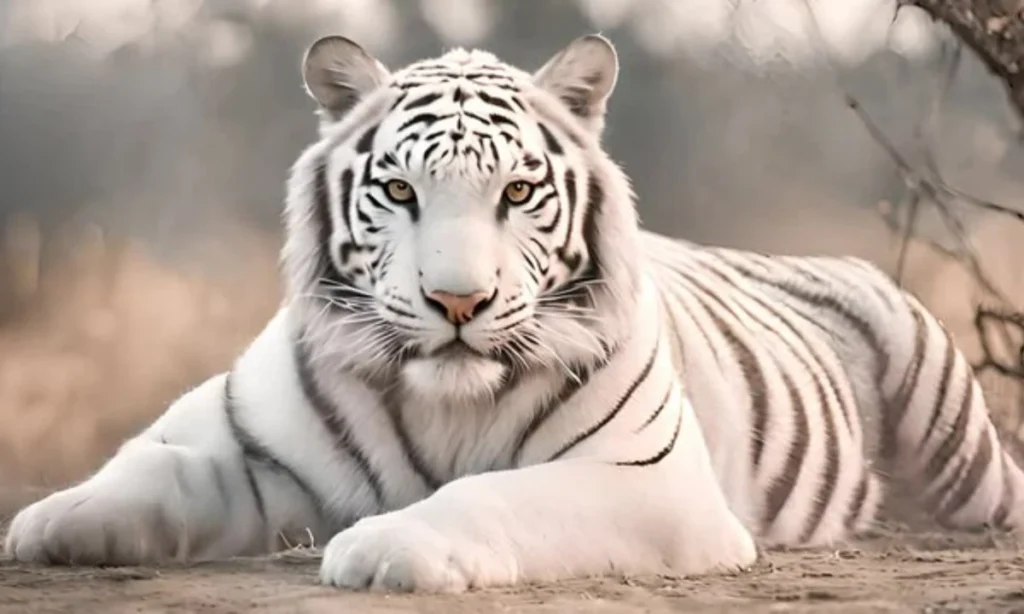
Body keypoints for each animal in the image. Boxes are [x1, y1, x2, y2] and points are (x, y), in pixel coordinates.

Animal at [5, 33, 1024, 593]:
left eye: (519, 191)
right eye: (400, 191)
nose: (458, 299)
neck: (441, 400)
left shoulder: (645, 481)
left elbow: (489, 494)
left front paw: (382, 547)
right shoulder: (254, 446)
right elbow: (155, 467)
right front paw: (51, 522)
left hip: (964, 464)